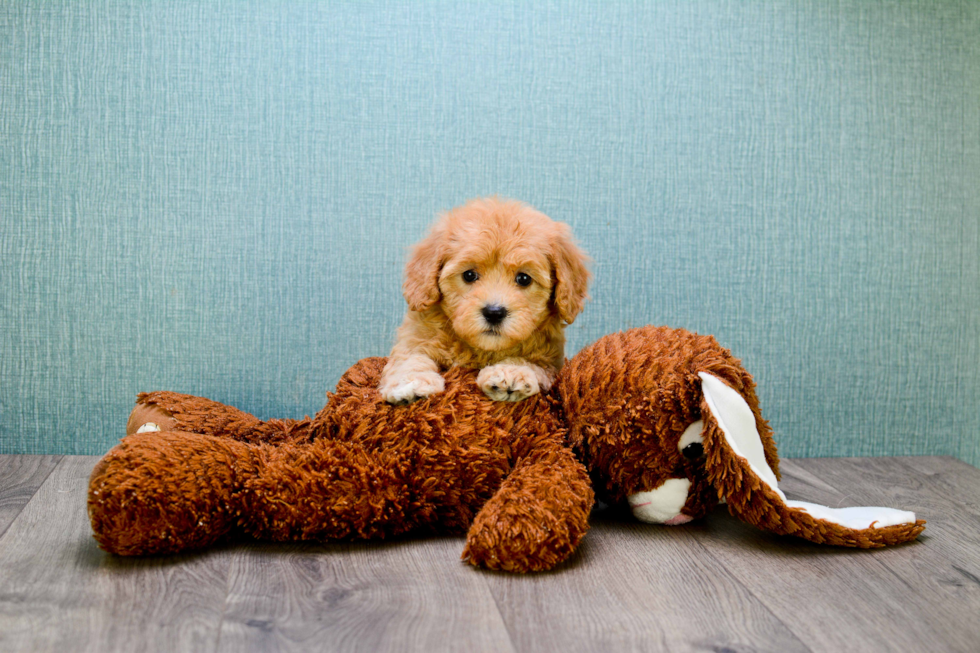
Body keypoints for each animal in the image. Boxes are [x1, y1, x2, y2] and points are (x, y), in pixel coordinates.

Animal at [378, 196, 588, 404]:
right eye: (469, 275)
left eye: (524, 278)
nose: (494, 313)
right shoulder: (415, 337)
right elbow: (410, 358)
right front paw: (411, 383)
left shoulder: (549, 361)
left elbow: (529, 362)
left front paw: (511, 371)